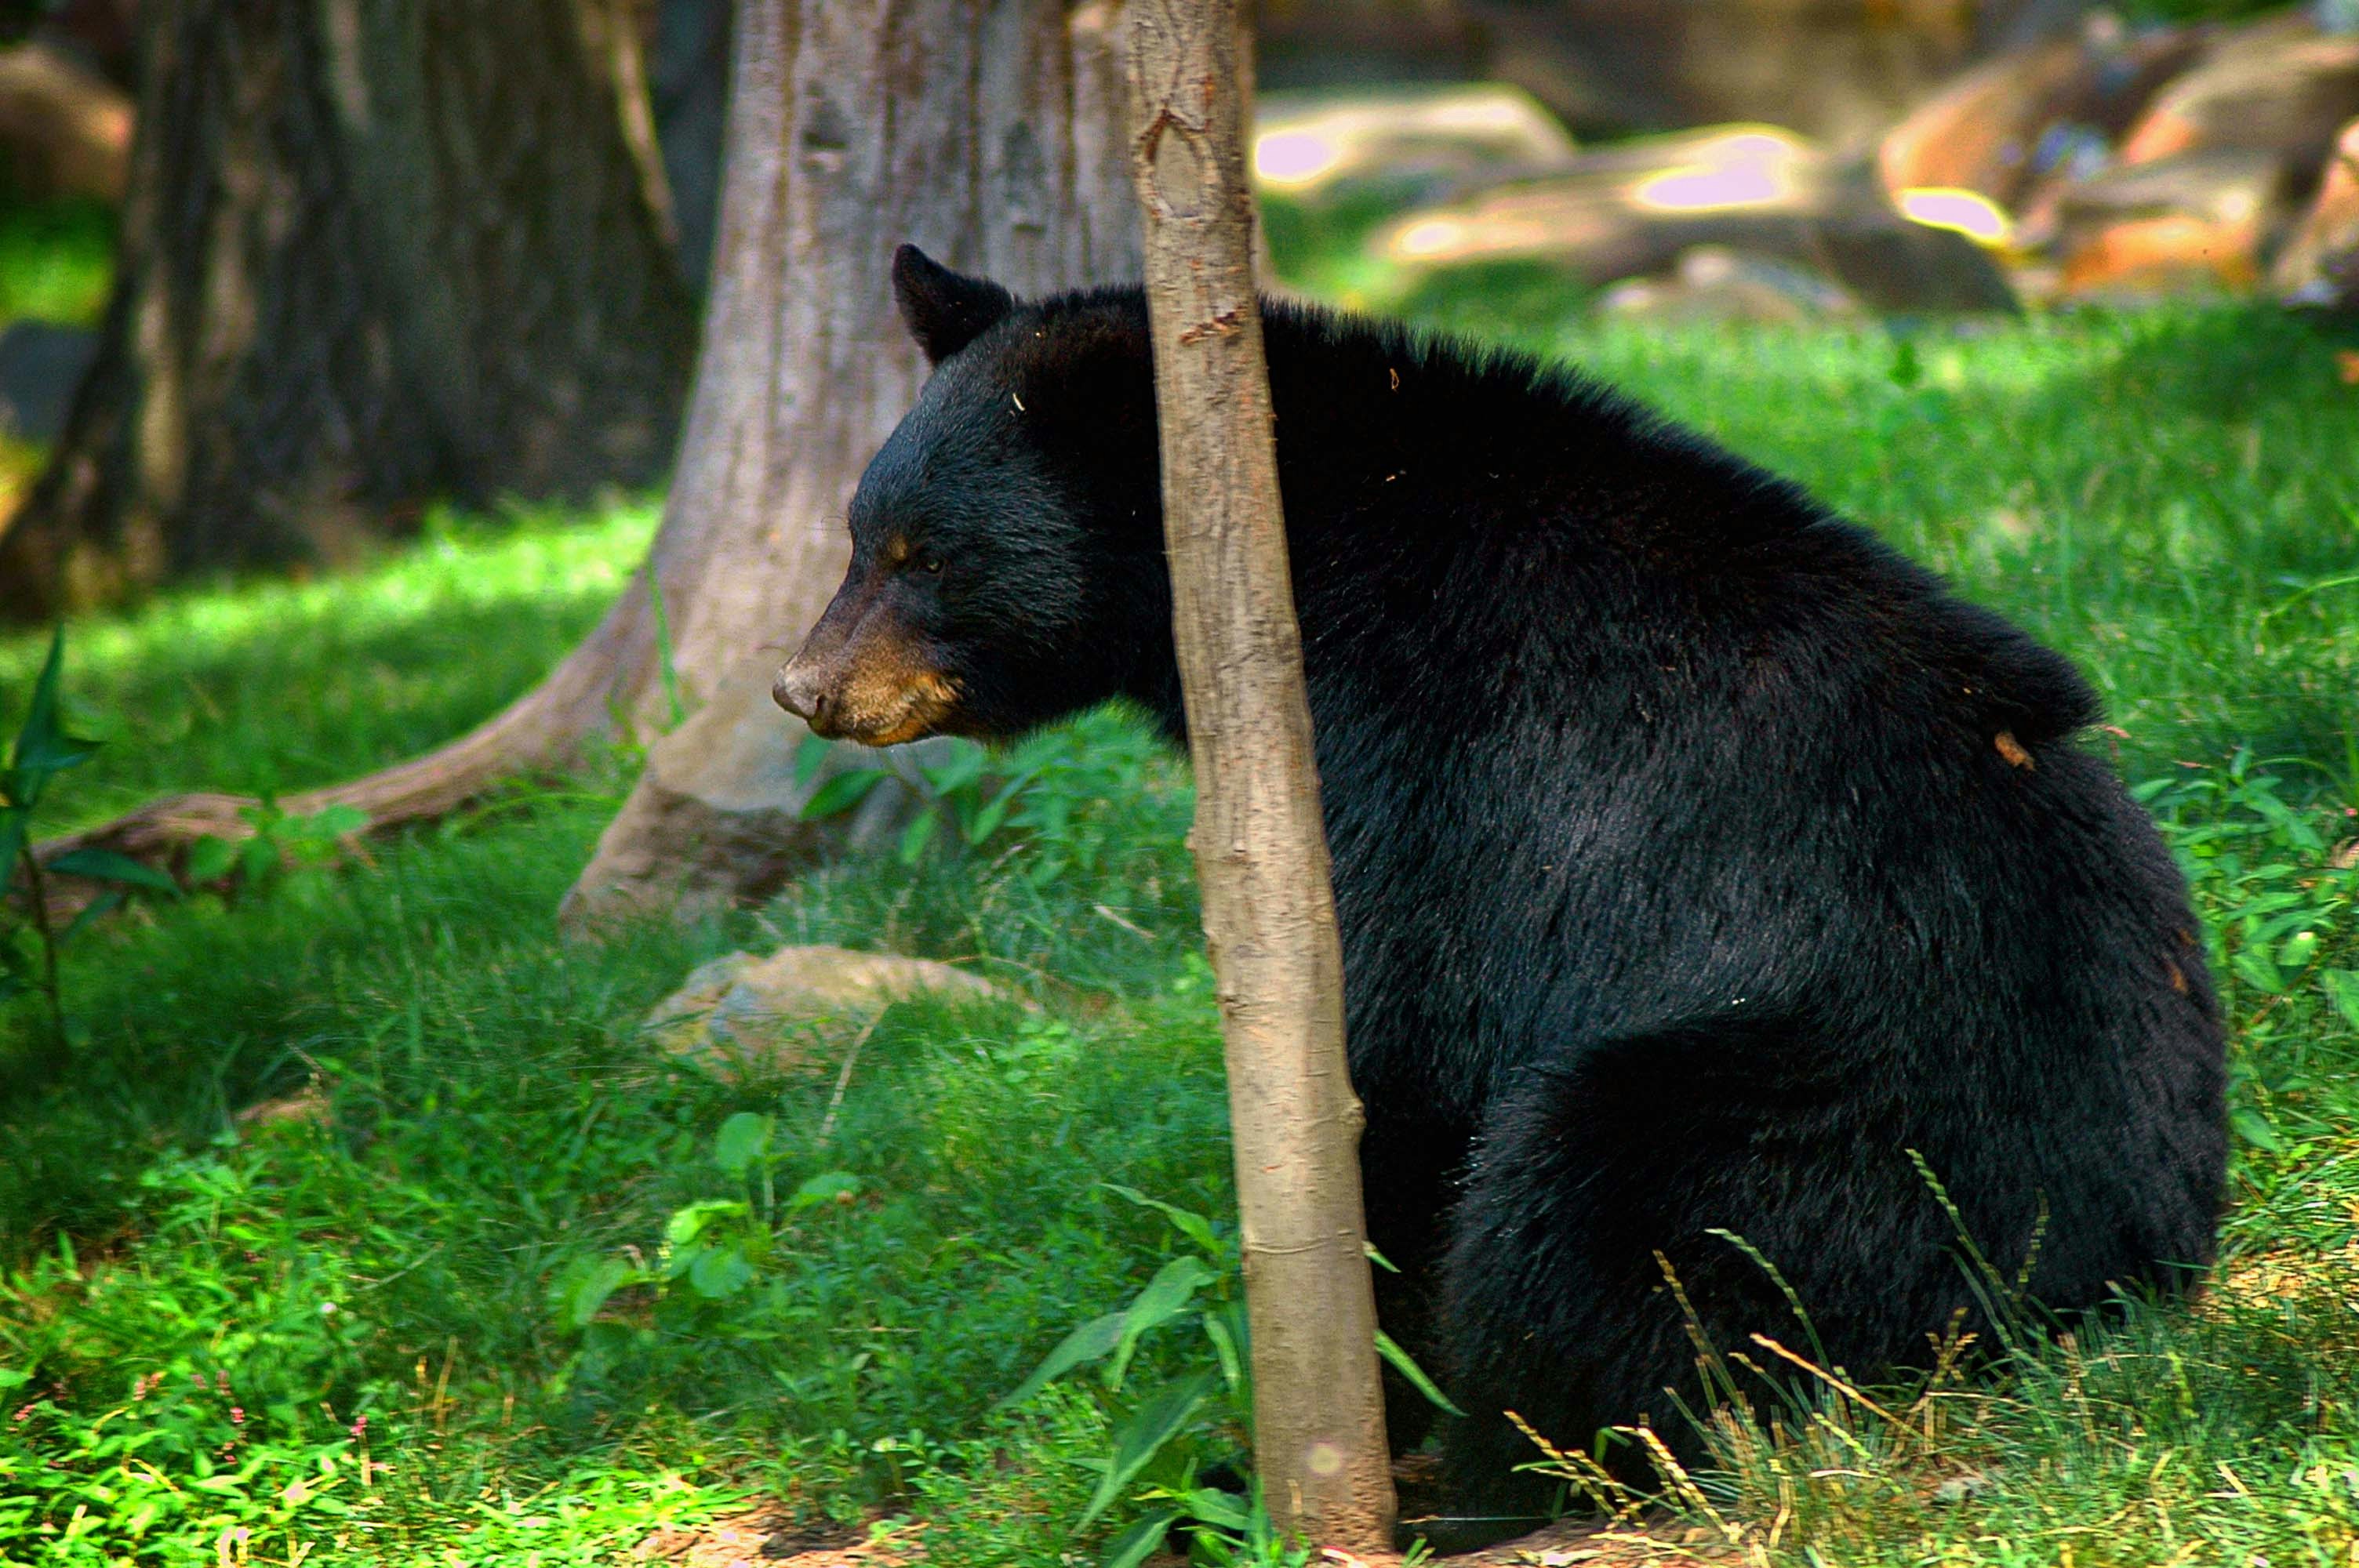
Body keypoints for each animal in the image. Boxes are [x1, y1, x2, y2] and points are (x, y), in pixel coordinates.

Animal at [774, 244, 2228, 1520]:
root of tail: (2105, 1288)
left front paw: (1341, 1410)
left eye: (926, 555)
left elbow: (1398, 1065)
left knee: (1585, 1224)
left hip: (1838, 1141)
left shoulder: (1423, 770)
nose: (805, 687)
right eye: (857, 533)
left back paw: (1476, 1489)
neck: (1287, 565)